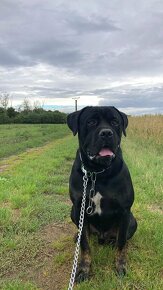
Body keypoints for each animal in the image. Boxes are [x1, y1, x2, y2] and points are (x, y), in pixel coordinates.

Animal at [67, 105, 137, 282]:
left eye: (115, 122)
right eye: (91, 122)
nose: (106, 133)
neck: (97, 173)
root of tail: (102, 236)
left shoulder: (125, 211)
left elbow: (121, 243)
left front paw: (120, 266)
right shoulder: (78, 208)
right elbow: (85, 245)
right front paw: (84, 269)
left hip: (133, 221)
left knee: (122, 238)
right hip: (73, 213)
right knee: (84, 234)